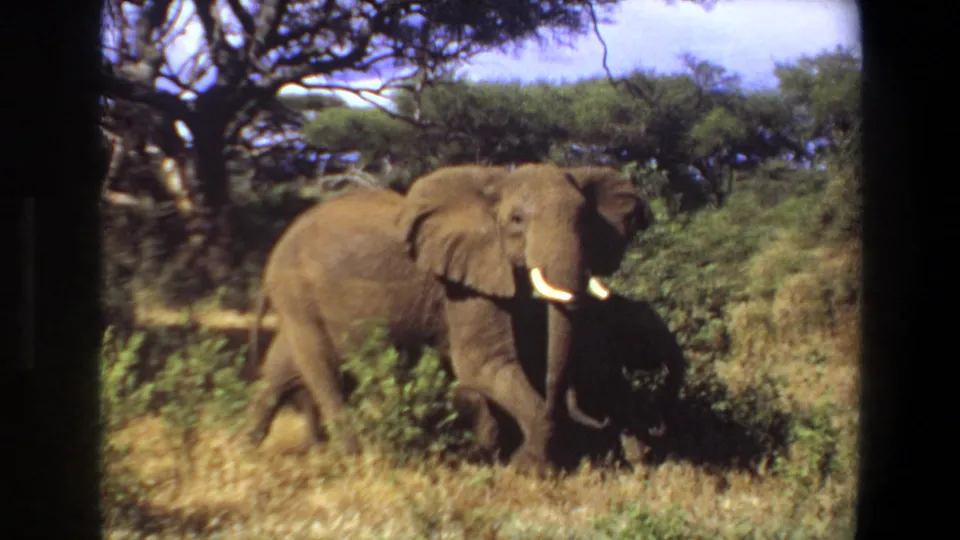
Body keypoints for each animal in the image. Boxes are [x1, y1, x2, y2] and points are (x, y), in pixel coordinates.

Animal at [246, 163, 653, 472]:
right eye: (516, 220)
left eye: (585, 221)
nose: (593, 418)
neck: (495, 186)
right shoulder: (463, 281)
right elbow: (482, 361)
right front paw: (528, 469)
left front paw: (500, 456)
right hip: (298, 292)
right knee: (323, 369)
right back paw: (354, 458)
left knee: (281, 365)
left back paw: (252, 445)